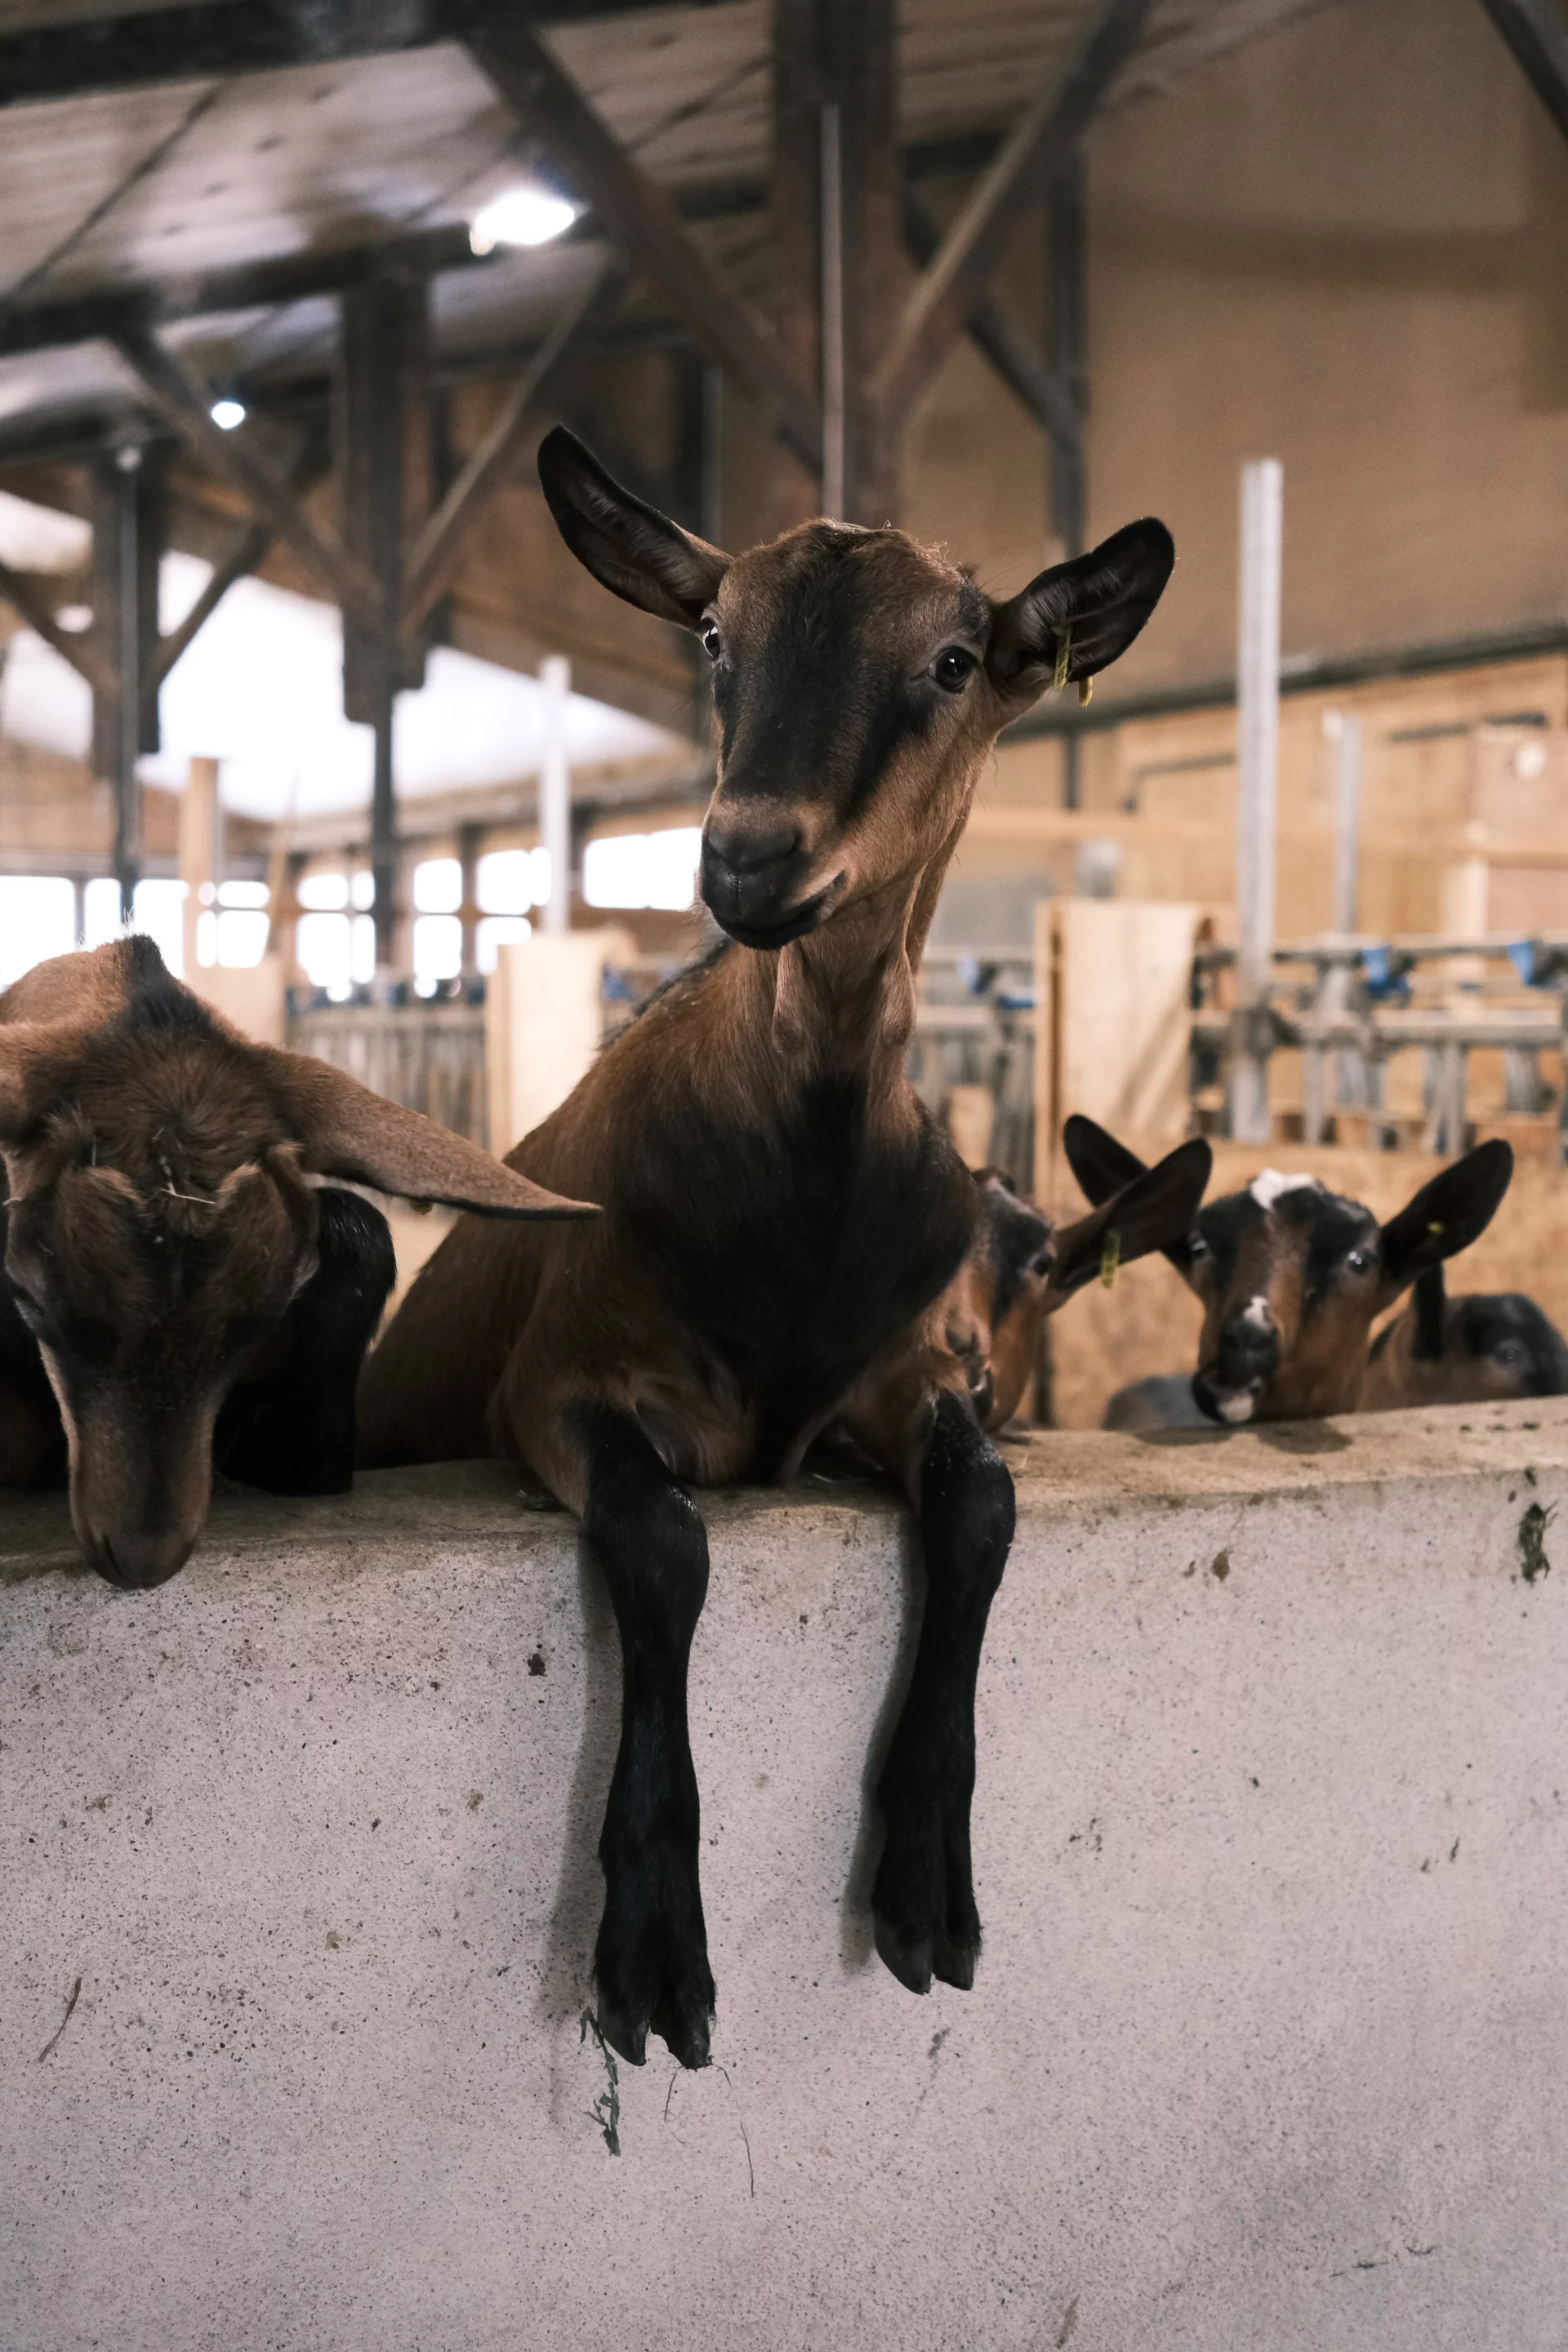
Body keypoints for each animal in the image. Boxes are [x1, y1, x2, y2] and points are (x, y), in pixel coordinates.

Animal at [359, 428, 1175, 2078]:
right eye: (718, 638)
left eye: (952, 659)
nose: (746, 860)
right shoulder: (564, 1386)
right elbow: (670, 1545)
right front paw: (654, 1956)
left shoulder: (907, 1373)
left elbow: (985, 1507)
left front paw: (927, 1887)